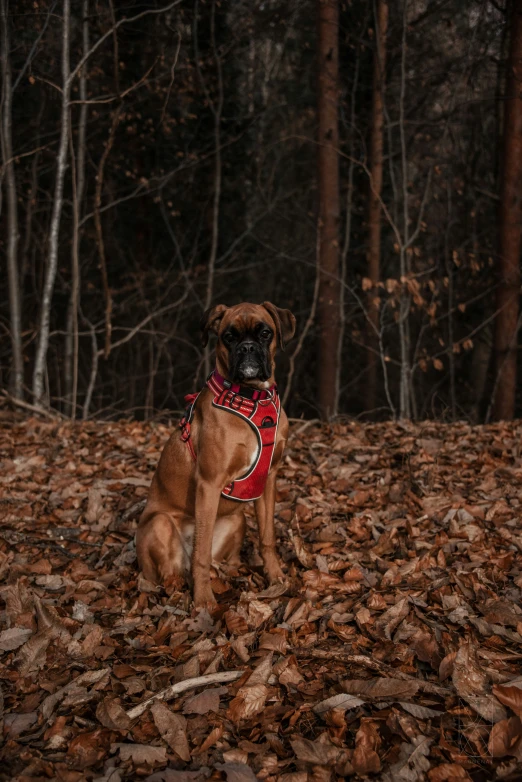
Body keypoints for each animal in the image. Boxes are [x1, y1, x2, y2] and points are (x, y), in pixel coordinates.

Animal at [134, 304, 294, 608]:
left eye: (265, 333)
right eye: (228, 337)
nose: (247, 348)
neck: (253, 397)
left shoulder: (269, 479)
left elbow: (267, 536)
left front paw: (276, 576)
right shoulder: (209, 484)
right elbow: (202, 552)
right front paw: (204, 599)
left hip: (237, 519)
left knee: (218, 560)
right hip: (160, 525)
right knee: (173, 570)